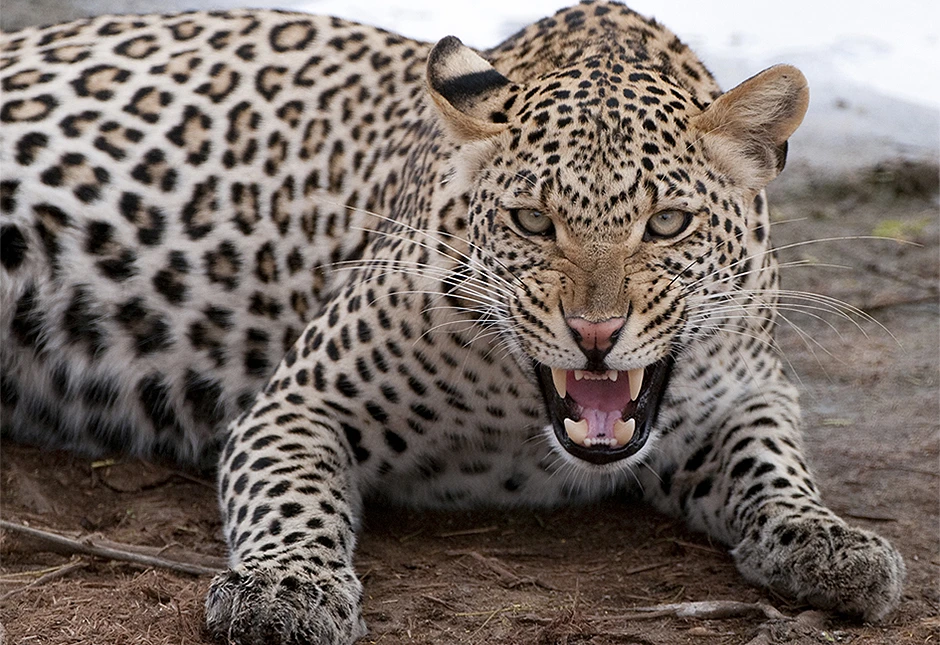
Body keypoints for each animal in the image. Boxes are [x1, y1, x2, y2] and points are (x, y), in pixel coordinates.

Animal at [0, 2, 905, 643]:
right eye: (532, 221)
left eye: (669, 223)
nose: (596, 332)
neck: (520, 425)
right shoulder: (299, 402)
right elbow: (293, 494)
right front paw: (287, 588)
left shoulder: (751, 390)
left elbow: (774, 465)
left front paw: (830, 541)